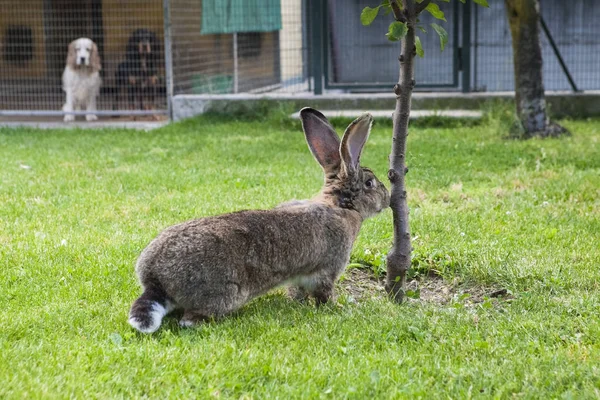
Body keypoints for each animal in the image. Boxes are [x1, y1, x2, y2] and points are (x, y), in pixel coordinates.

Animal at [127, 108, 390, 332]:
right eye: (370, 183)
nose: (388, 199)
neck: (339, 205)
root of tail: (156, 280)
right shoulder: (327, 270)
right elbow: (323, 294)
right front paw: (336, 307)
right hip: (223, 296)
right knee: (190, 319)